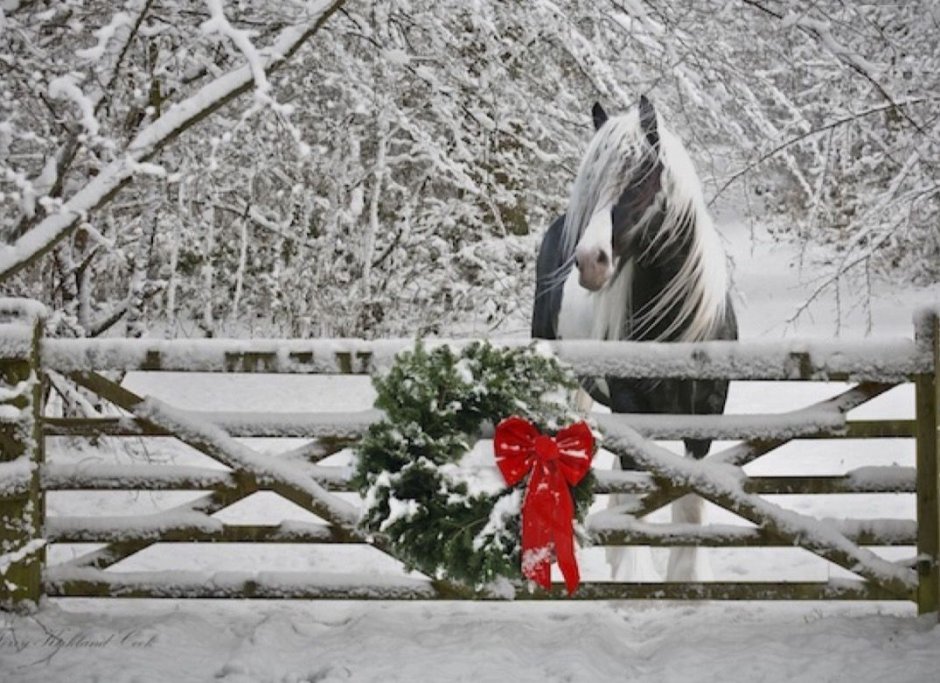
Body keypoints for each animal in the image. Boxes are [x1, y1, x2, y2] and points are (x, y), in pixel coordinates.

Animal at [532, 97, 740, 584]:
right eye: (592, 184)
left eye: (641, 178)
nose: (590, 261)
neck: (675, 329)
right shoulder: (632, 407)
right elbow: (637, 496)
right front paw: (631, 576)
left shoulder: (705, 416)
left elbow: (688, 503)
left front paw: (686, 578)